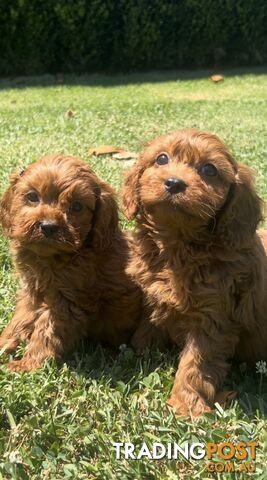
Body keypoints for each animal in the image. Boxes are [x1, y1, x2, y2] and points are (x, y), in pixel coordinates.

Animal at [0, 154, 141, 372]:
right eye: (32, 197)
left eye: (76, 206)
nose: (48, 227)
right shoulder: (32, 291)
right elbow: (19, 320)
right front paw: (4, 343)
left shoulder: (66, 301)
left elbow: (46, 332)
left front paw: (27, 364)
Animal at [122, 128, 266, 416]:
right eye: (162, 158)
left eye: (209, 170)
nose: (174, 183)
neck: (179, 246)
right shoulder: (155, 293)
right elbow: (149, 324)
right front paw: (139, 349)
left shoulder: (213, 319)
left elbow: (195, 364)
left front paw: (185, 406)